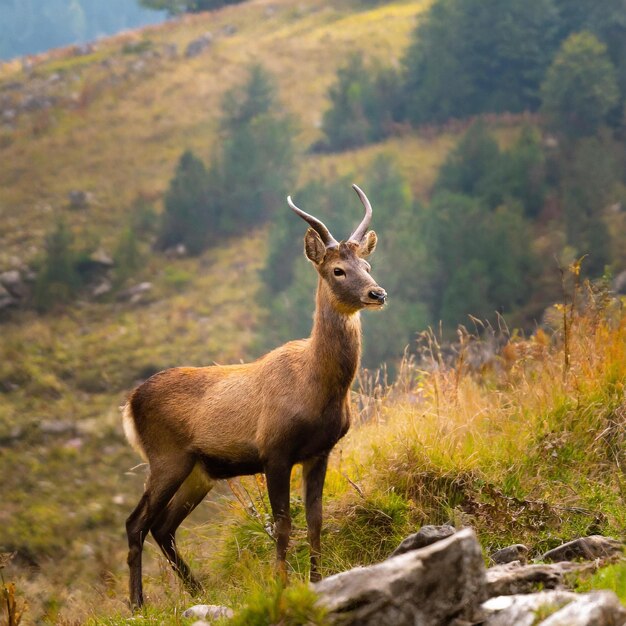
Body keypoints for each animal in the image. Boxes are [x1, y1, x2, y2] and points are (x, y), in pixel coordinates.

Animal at [121, 184, 386, 604]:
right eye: (337, 270)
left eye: (368, 266)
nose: (377, 293)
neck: (317, 388)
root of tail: (129, 404)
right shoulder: (273, 450)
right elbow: (282, 525)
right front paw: (281, 584)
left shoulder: (320, 451)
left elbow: (315, 521)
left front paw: (316, 580)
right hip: (166, 457)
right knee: (137, 523)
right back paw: (137, 603)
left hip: (199, 471)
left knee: (163, 526)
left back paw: (197, 591)